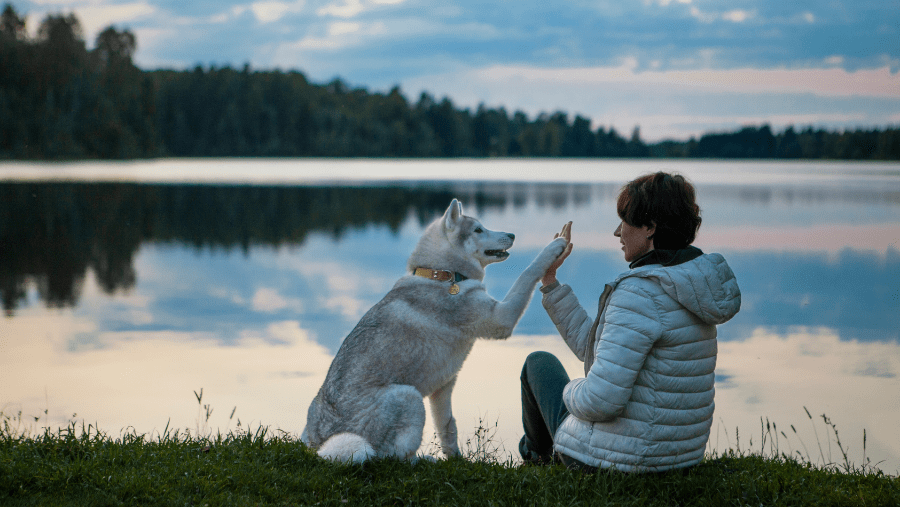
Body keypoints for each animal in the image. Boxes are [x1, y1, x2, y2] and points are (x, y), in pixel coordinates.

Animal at [300, 198, 564, 464]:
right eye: (478, 230)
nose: (511, 234)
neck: (442, 275)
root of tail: (321, 444)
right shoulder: (502, 317)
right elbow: (529, 272)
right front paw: (553, 248)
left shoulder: (444, 385)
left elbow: (447, 426)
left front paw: (455, 459)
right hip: (409, 397)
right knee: (391, 457)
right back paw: (422, 459)